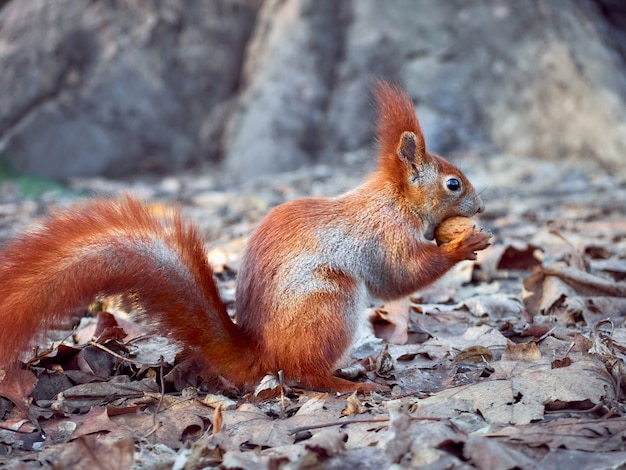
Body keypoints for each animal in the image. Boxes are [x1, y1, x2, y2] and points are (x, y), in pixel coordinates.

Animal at [0, 81, 488, 392]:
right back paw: (344, 384)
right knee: (303, 372)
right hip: (329, 303)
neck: (394, 200)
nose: (481, 208)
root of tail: (262, 353)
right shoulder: (383, 233)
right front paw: (464, 245)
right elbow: (400, 276)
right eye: (453, 184)